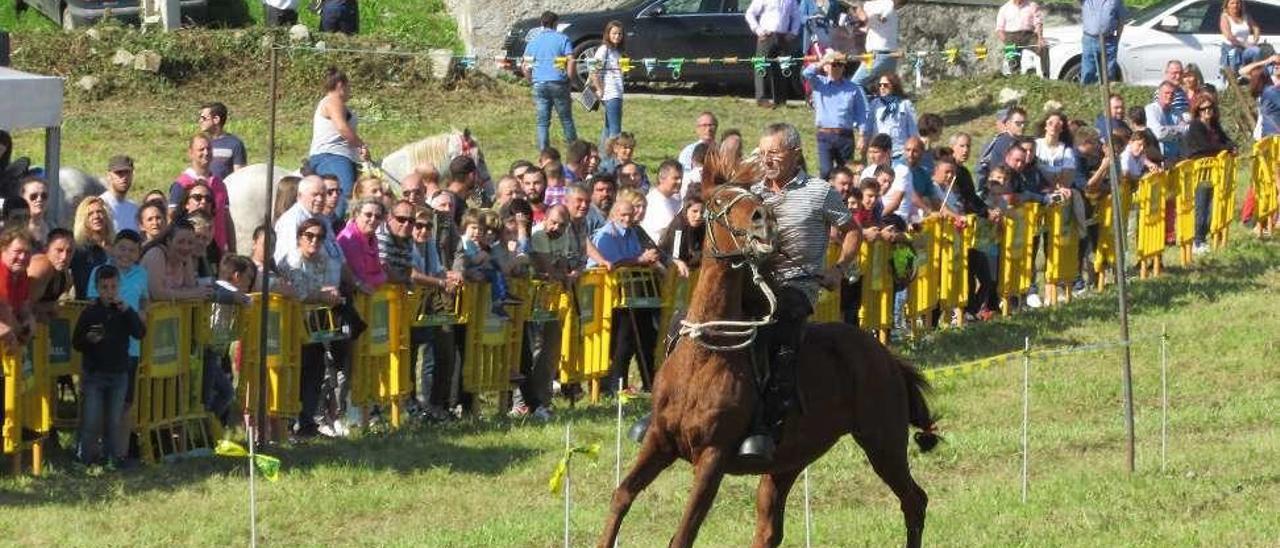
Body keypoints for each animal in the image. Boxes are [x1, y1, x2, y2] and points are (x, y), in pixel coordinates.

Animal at [599, 149, 942, 548]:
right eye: (717, 202)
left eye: (752, 197)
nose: (763, 221)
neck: (707, 355)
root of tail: (886, 358)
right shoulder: (659, 440)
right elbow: (622, 495)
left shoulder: (713, 456)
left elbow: (683, 534)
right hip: (788, 462)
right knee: (768, 531)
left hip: (882, 441)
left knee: (915, 500)